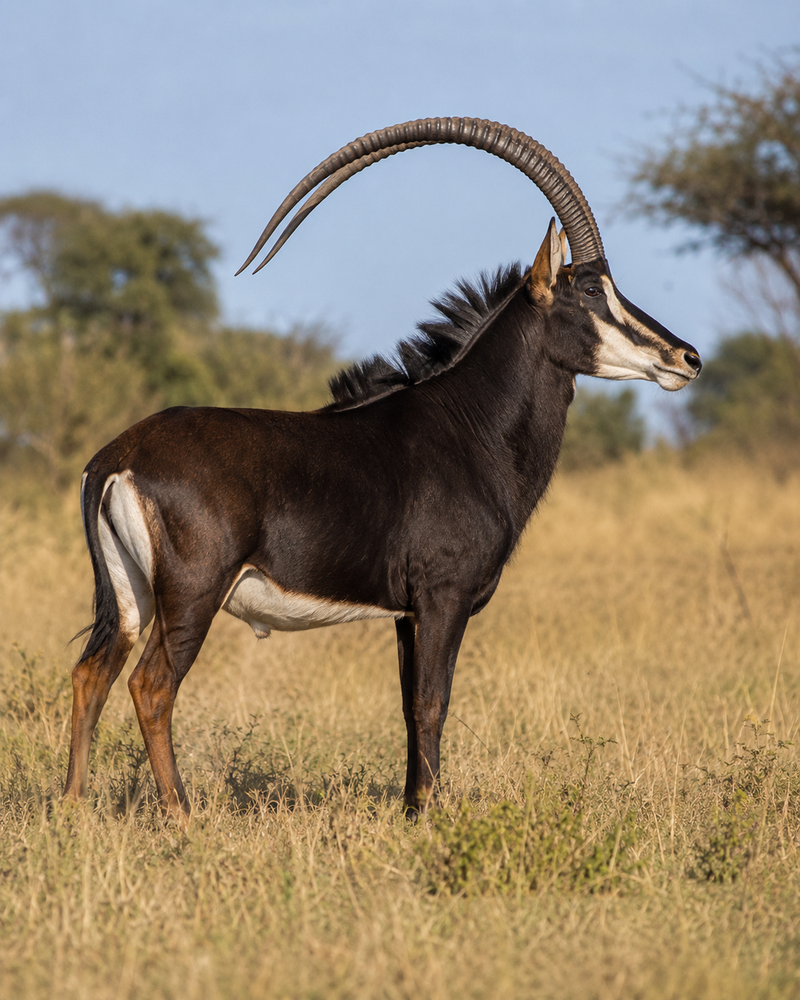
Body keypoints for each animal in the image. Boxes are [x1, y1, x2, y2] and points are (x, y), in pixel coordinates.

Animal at [64, 118, 701, 819]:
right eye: (591, 289)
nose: (687, 357)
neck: (470, 425)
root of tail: (116, 459)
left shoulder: (406, 613)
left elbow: (406, 708)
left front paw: (410, 809)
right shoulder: (444, 597)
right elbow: (432, 702)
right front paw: (431, 817)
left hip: (133, 595)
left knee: (92, 675)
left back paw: (71, 809)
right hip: (192, 594)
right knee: (152, 686)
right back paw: (179, 815)